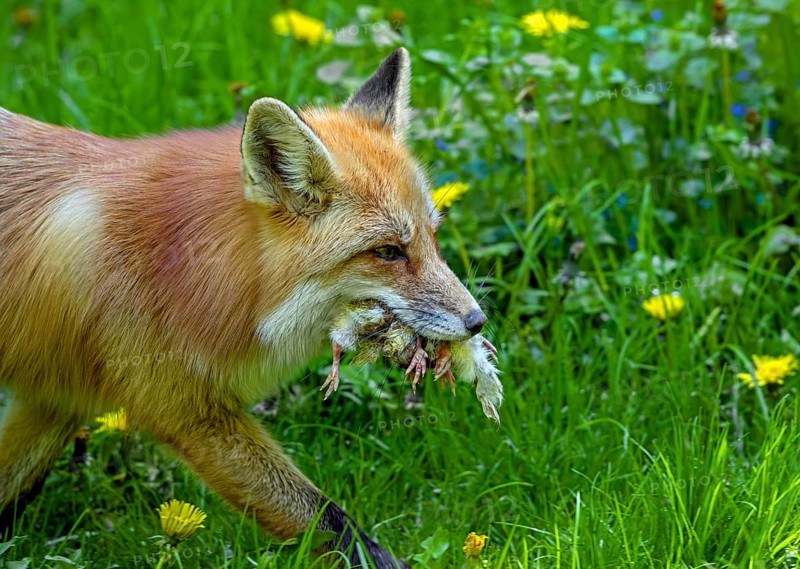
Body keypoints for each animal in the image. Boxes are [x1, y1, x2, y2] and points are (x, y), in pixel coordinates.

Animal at [0, 48, 488, 568]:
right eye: (389, 252)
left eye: (433, 237)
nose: (478, 321)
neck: (182, 270)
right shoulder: (186, 411)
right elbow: (332, 522)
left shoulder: (54, 399)